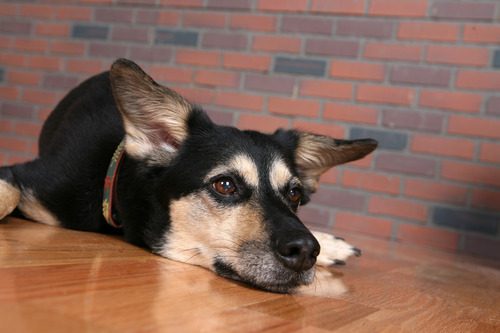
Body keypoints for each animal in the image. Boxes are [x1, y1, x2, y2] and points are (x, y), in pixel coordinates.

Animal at [0, 58, 376, 292]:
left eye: (295, 194)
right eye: (225, 184)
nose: (306, 250)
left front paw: (327, 243)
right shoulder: (27, 176)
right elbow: (11, 191)